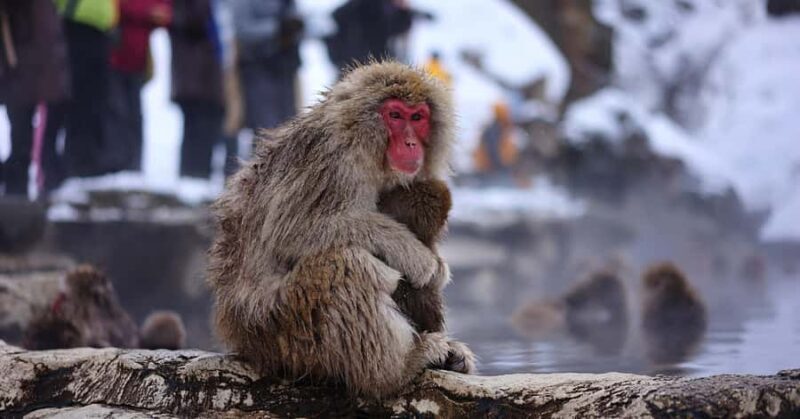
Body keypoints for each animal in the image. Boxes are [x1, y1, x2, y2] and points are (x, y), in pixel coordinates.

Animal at [208, 61, 475, 399]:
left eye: (418, 117)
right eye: (395, 115)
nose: (411, 143)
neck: (365, 148)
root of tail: (241, 339)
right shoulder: (330, 161)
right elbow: (292, 232)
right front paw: (415, 254)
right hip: (283, 330)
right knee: (347, 264)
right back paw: (395, 369)